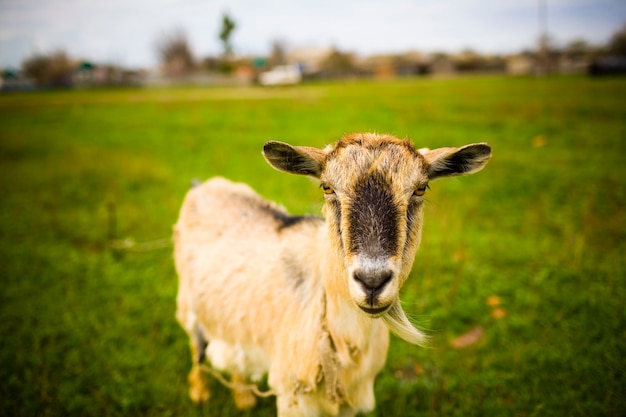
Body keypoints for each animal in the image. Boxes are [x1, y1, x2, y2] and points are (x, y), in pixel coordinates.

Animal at [173, 132, 490, 414]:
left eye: (421, 188)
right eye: (327, 187)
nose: (372, 281)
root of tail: (201, 186)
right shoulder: (292, 396)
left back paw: (244, 398)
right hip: (187, 303)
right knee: (196, 347)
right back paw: (200, 392)